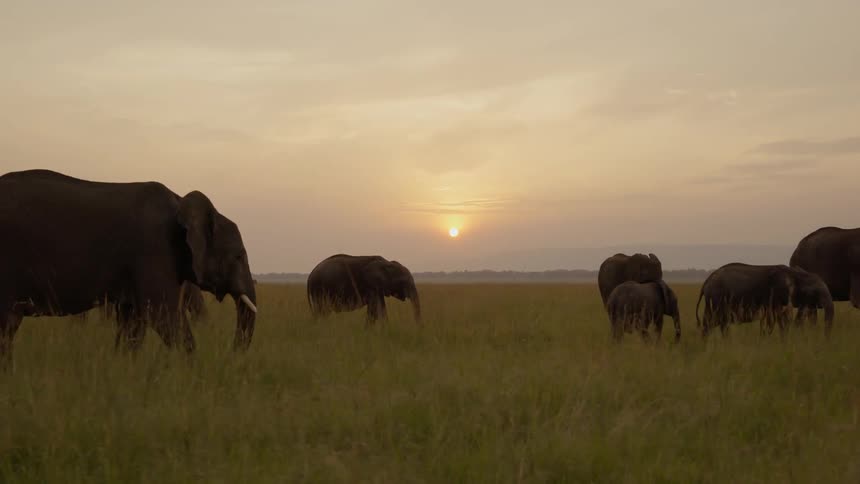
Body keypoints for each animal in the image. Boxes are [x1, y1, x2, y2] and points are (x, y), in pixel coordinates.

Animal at [0, 169, 257, 367]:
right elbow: (164, 316)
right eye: (238, 256)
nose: (233, 355)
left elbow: (133, 323)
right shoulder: (154, 248)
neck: (180, 202)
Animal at [695, 263, 834, 338]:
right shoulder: (776, 293)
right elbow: (780, 318)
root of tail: (706, 282)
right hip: (718, 298)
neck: (795, 274)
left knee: (715, 322)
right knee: (716, 322)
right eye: (815, 292)